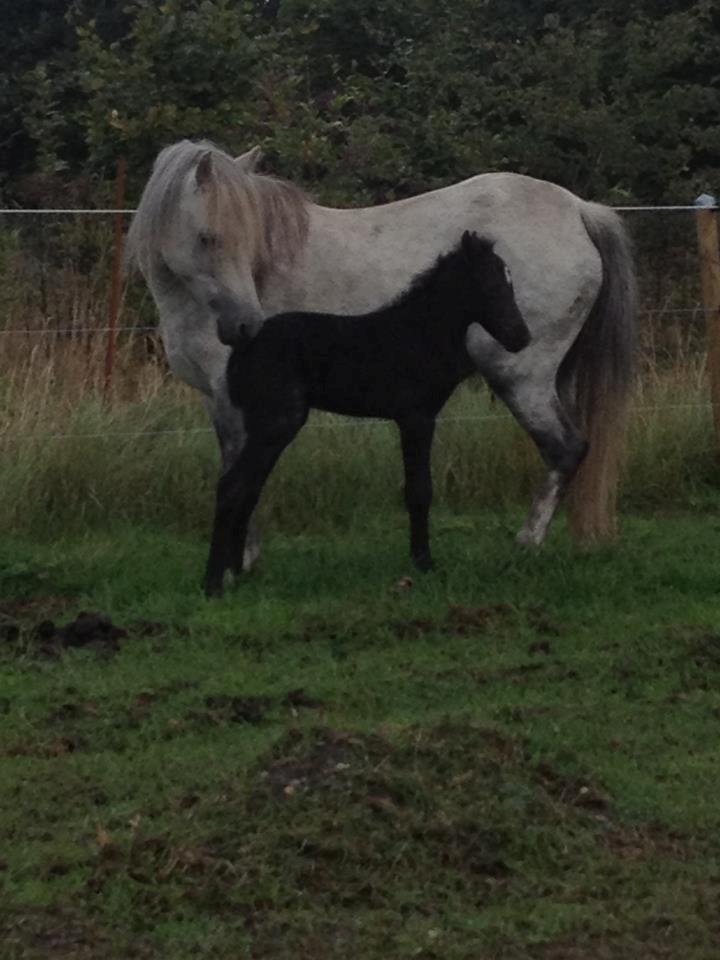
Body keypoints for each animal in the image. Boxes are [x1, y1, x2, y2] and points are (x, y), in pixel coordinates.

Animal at [203, 231, 530, 596]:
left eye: (510, 281)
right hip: (278, 422)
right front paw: (424, 563)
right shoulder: (416, 417)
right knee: (232, 486)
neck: (421, 332)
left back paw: (236, 573)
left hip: (264, 425)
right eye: (490, 283)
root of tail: (239, 353)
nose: (521, 337)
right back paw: (212, 584)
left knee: (248, 489)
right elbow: (420, 490)